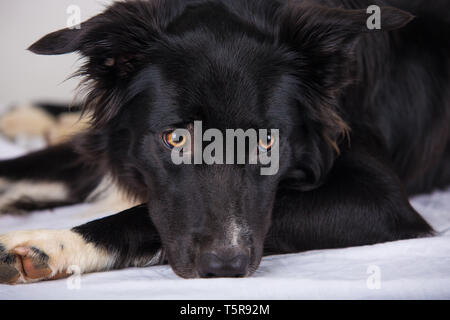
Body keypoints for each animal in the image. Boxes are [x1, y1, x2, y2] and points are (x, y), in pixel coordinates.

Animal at [0, 0, 450, 284]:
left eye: (267, 142)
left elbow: (140, 214)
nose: (225, 267)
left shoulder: (380, 197)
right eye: (175, 138)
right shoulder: (114, 147)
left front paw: (49, 244)